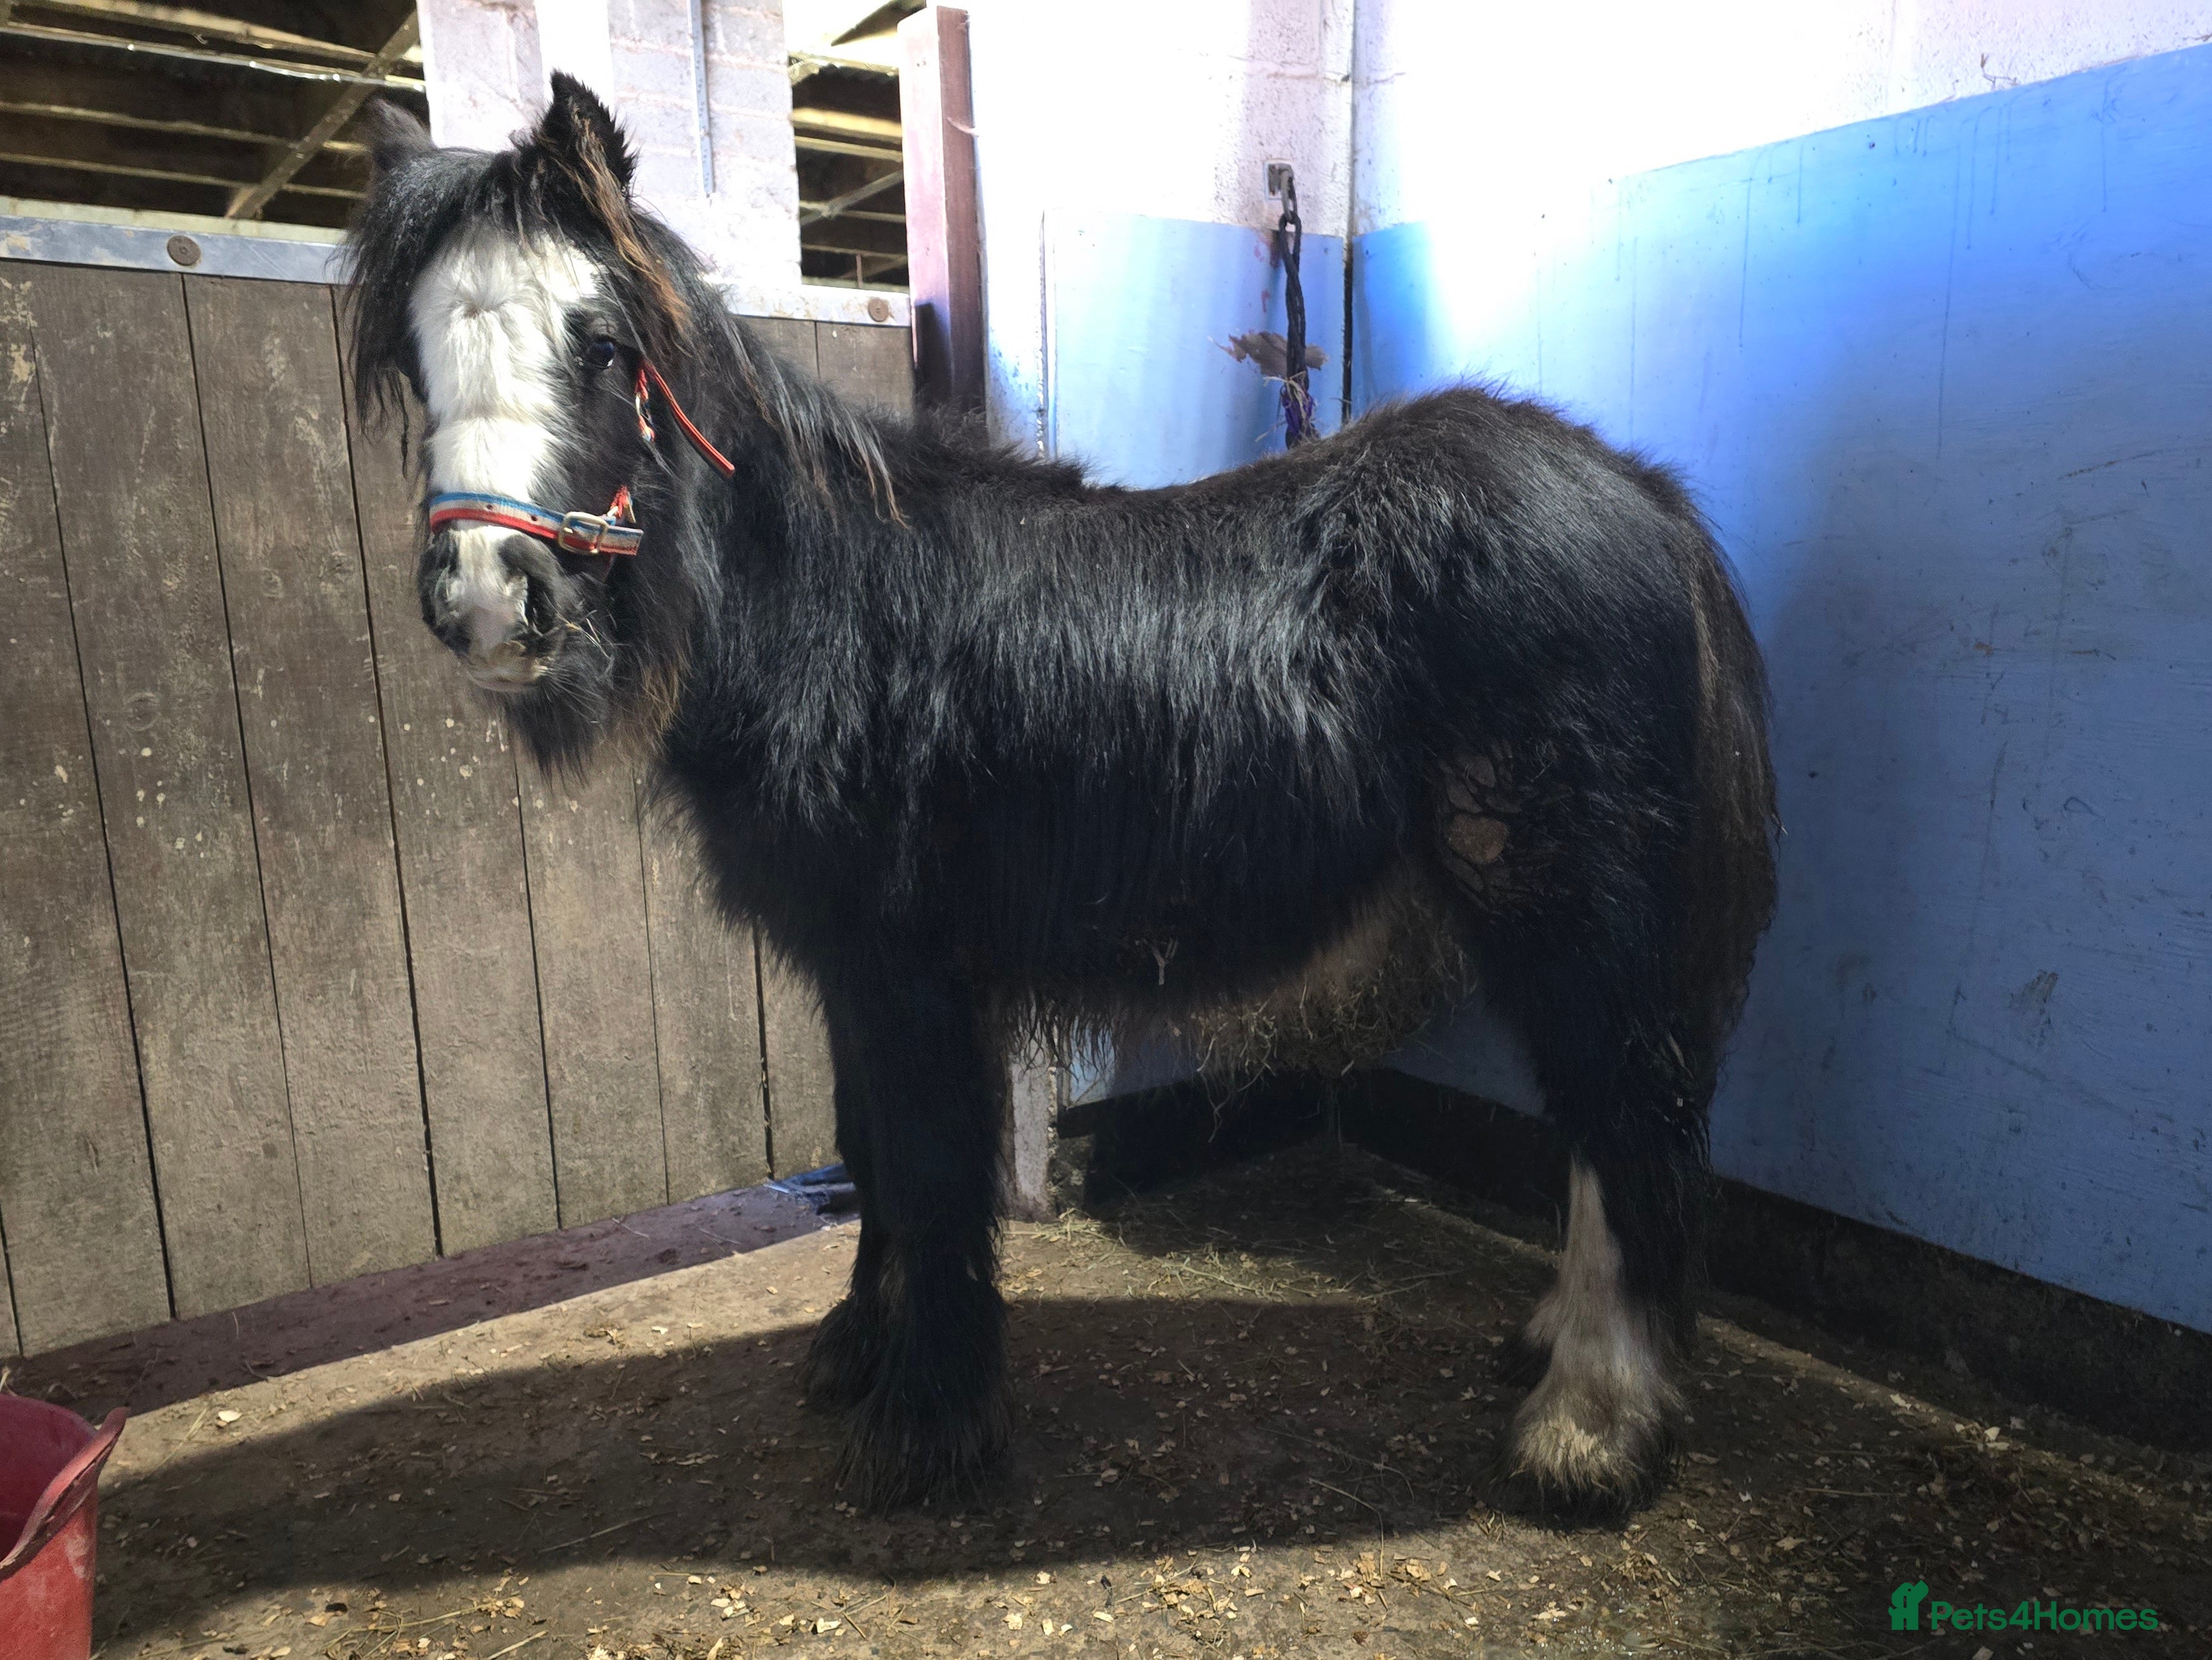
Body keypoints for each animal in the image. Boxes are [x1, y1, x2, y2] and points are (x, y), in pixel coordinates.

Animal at [345, 76, 1778, 1518]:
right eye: (414, 356)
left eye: (598, 345)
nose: (488, 599)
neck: (837, 613)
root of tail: (1640, 495)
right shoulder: (853, 969)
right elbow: (869, 1147)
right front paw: (862, 1348)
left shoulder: (912, 966)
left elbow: (928, 1165)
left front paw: (925, 1418)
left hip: (1567, 909)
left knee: (1629, 1121)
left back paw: (1588, 1426)